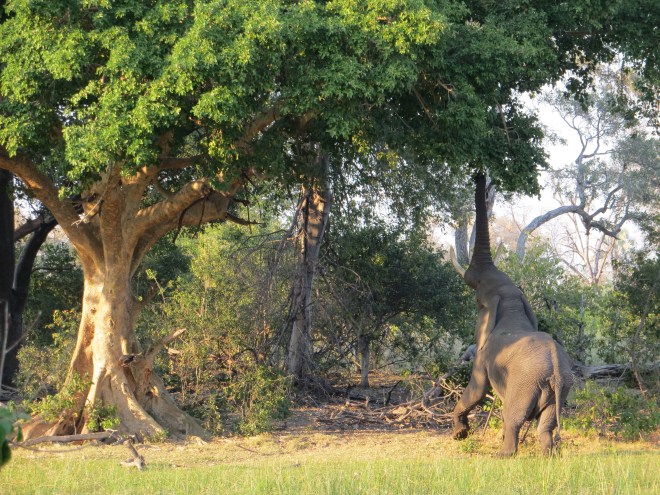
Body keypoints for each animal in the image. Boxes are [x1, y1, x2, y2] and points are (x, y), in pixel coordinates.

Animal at [452, 173, 573, 456]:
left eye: (477, 302)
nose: (480, 175)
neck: (511, 303)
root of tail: (557, 372)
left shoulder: (483, 356)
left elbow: (476, 389)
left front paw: (459, 434)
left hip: (524, 384)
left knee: (514, 417)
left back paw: (502, 456)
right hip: (561, 389)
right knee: (546, 425)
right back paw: (548, 456)